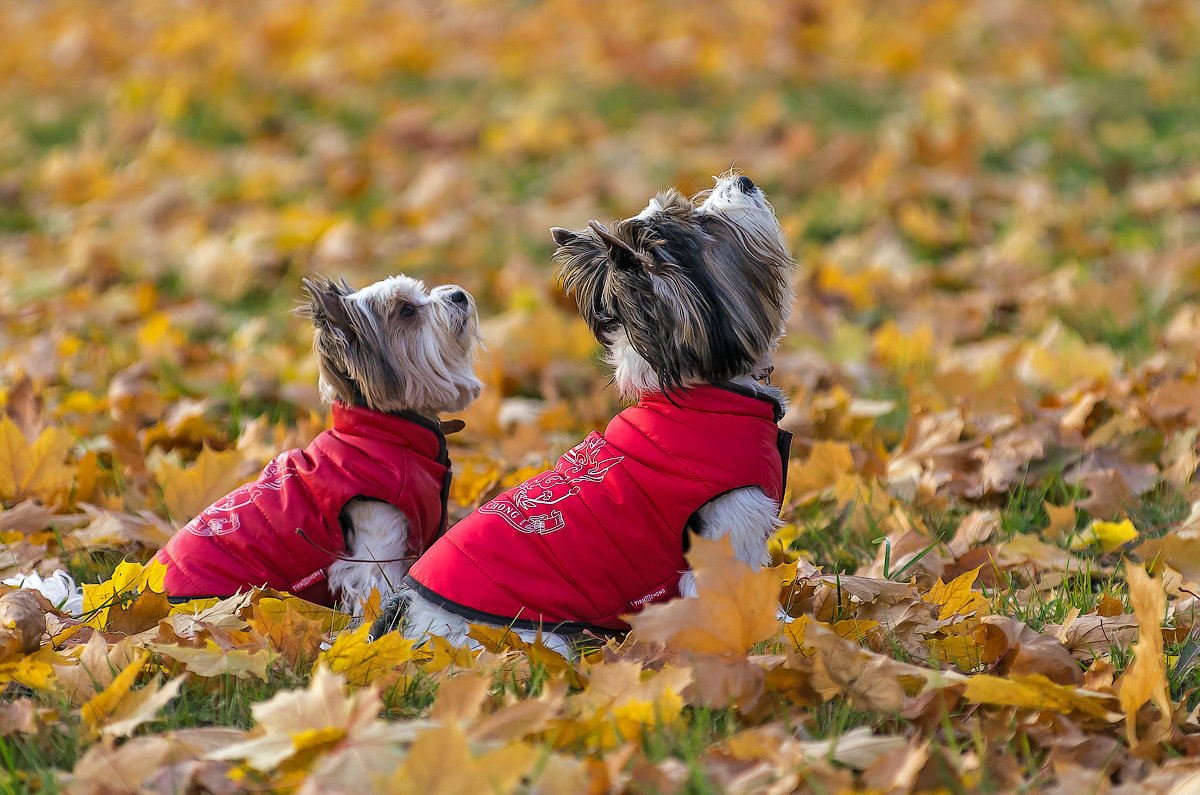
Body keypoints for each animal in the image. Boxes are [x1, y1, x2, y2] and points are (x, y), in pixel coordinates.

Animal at [369, 172, 792, 653]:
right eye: (709, 225)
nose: (744, 179)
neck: (700, 395)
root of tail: (407, 615)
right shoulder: (723, 537)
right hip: (531, 636)